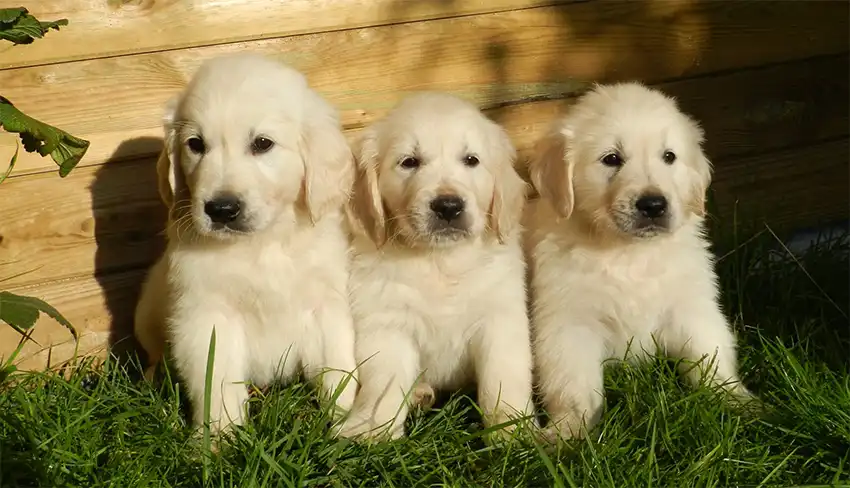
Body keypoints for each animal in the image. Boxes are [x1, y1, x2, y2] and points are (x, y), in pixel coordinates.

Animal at [132, 54, 358, 434]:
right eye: (195, 144)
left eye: (262, 143)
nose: (221, 210)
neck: (261, 244)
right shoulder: (207, 316)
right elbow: (216, 382)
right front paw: (217, 438)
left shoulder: (326, 303)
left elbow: (338, 367)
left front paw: (351, 423)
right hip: (148, 309)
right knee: (154, 354)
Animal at [334, 92, 532, 442]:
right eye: (409, 162)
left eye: (471, 160)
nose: (449, 206)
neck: (440, 261)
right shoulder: (388, 323)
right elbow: (384, 383)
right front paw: (371, 429)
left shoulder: (499, 317)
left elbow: (504, 377)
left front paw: (513, 430)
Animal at [528, 82, 752, 440]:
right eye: (611, 159)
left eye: (669, 157)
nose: (653, 205)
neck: (628, 252)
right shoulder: (568, 324)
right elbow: (574, 386)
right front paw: (567, 432)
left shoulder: (691, 307)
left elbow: (711, 357)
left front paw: (741, 403)